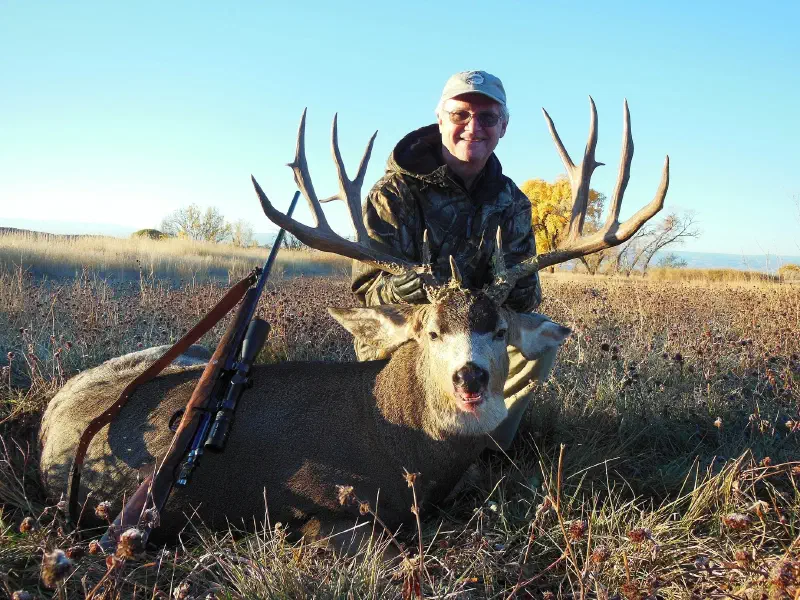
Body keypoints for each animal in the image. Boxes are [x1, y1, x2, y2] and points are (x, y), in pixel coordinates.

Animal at [38, 98, 668, 546]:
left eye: (498, 330)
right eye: (430, 332)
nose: (470, 379)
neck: (402, 439)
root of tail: (45, 420)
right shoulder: (326, 504)